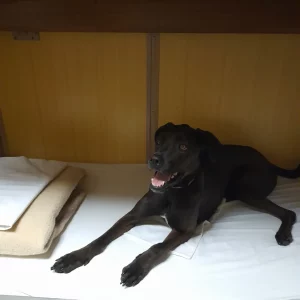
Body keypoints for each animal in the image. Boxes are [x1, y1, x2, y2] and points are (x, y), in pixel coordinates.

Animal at [50, 123, 298, 288]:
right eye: (160, 142)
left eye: (183, 147)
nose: (154, 159)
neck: (170, 192)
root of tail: (269, 161)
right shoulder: (131, 216)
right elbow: (102, 238)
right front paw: (75, 256)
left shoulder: (184, 230)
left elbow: (157, 247)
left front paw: (136, 268)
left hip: (244, 188)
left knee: (289, 212)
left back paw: (283, 233)